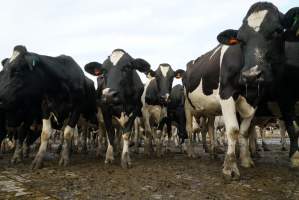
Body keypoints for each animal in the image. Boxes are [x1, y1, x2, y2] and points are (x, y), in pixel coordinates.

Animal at [218, 1, 299, 178]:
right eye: (240, 39)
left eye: (277, 31)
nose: (251, 75)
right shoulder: (285, 95)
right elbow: (293, 127)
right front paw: (230, 166)